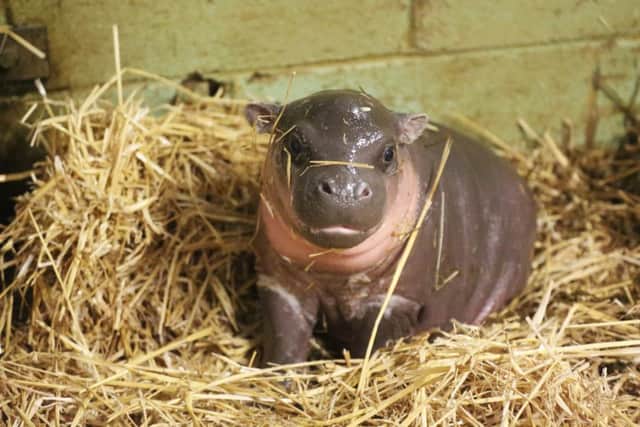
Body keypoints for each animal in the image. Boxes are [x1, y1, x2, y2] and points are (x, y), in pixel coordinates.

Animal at [245, 90, 536, 366]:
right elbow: (285, 339)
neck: (334, 273)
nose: (344, 190)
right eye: (294, 143)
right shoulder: (279, 283)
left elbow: (373, 341)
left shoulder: (395, 299)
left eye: (389, 152)